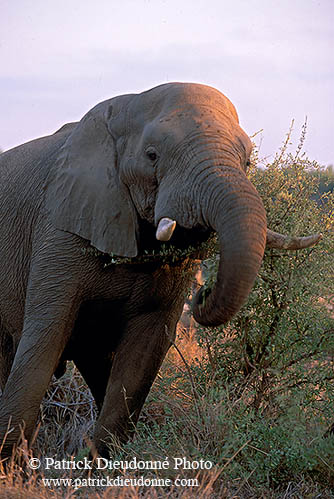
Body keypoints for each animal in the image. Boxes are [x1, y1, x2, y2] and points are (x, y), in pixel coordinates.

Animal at [0, 83, 318, 460]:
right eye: (152, 155)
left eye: (248, 162)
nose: (202, 294)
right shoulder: (59, 228)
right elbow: (45, 337)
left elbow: (143, 353)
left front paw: (104, 469)